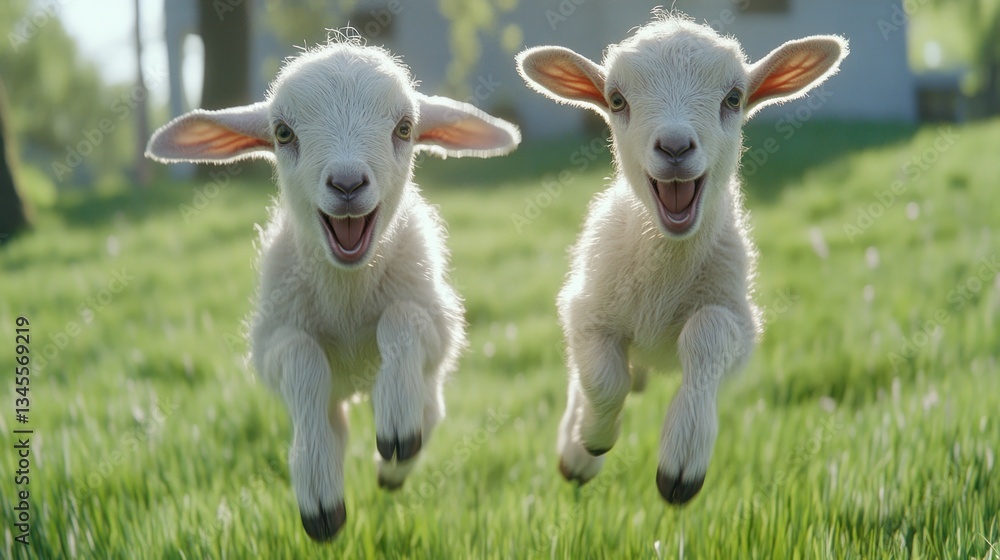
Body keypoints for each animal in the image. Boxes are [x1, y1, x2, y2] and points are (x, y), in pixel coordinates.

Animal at [145, 36, 520, 541]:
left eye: (405, 129)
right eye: (283, 133)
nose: (346, 184)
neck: (348, 295)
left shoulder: (441, 325)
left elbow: (402, 320)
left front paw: (397, 425)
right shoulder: (271, 346)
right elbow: (302, 360)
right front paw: (318, 496)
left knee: (428, 410)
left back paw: (396, 454)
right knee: (333, 419)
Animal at [516, 12, 846, 504]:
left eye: (734, 98)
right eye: (617, 100)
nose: (674, 147)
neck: (665, 264)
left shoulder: (738, 322)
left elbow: (707, 336)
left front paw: (681, 464)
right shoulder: (585, 309)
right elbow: (602, 380)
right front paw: (591, 439)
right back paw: (577, 452)